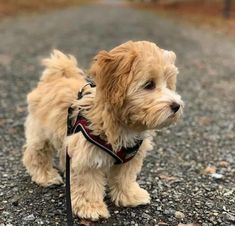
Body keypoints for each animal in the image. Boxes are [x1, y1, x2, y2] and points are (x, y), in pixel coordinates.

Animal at [22, 41, 184, 221]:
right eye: (149, 84)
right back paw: (46, 176)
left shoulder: (130, 158)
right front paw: (91, 208)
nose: (176, 106)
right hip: (41, 132)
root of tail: (56, 77)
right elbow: (88, 184)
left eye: (168, 84)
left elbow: (125, 178)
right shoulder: (87, 157)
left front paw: (130, 196)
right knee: (36, 154)